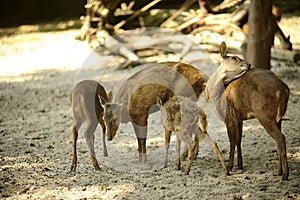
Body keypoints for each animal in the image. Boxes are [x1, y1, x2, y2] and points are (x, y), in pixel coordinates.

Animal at [205, 41, 290, 180]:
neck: (217, 96)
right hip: (279, 117)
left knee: (280, 137)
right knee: (279, 138)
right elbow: (239, 140)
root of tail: (284, 89)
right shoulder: (239, 118)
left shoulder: (229, 117)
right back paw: (279, 171)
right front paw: (240, 165)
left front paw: (230, 167)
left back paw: (285, 175)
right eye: (234, 57)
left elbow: (232, 141)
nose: (249, 64)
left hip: (264, 114)